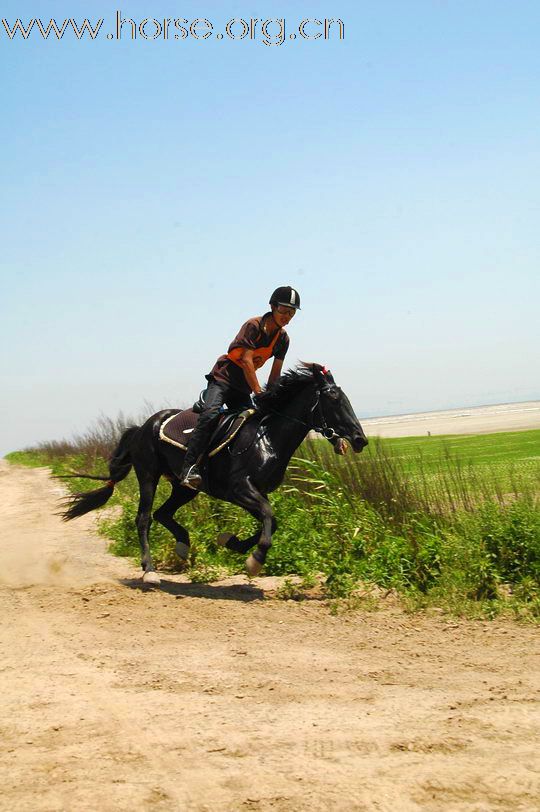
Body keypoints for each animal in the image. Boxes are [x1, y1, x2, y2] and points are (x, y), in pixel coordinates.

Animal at [62, 364, 368, 584]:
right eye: (334, 399)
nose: (360, 439)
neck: (267, 437)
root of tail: (142, 426)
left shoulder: (254, 492)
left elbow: (271, 520)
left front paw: (231, 543)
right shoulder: (240, 489)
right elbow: (269, 516)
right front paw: (254, 560)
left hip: (185, 487)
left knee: (163, 513)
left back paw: (183, 545)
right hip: (148, 475)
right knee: (144, 518)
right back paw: (150, 570)